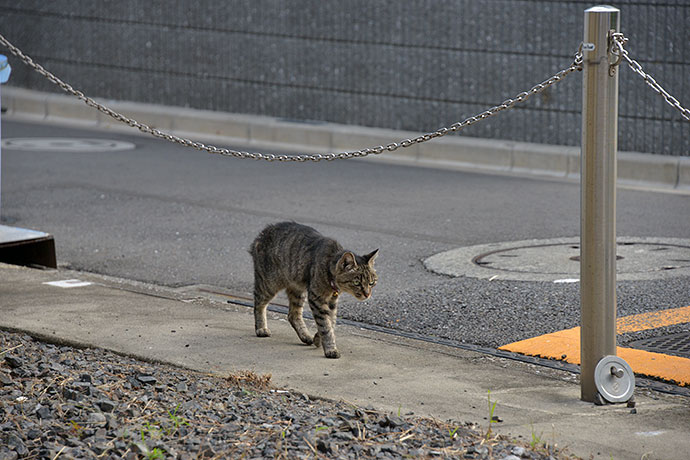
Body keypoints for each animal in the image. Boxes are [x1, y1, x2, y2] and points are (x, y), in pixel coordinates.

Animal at [247, 221, 376, 358]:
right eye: (357, 282)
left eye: (371, 282)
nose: (367, 294)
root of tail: (262, 233)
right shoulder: (317, 299)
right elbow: (325, 325)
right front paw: (330, 349)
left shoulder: (331, 302)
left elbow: (331, 321)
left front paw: (318, 339)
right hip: (269, 284)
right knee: (258, 303)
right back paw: (261, 329)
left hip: (298, 290)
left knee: (293, 315)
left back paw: (306, 336)